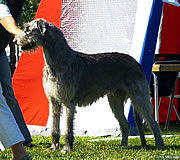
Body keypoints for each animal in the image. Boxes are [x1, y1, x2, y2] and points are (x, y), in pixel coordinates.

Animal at [14, 18, 164, 152]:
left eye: (27, 29)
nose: (15, 41)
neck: (57, 60)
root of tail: (136, 62)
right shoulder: (54, 102)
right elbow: (54, 128)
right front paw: (53, 147)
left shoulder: (68, 102)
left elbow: (68, 128)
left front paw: (66, 149)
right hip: (115, 100)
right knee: (125, 124)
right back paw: (123, 145)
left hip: (140, 97)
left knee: (153, 122)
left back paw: (159, 144)